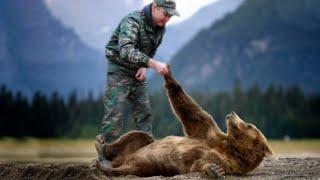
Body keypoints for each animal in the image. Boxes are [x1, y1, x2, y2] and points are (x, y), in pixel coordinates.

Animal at [93, 68, 272, 178]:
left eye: (249, 125)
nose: (232, 113)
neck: (230, 146)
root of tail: (122, 161)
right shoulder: (208, 132)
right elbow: (192, 112)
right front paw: (168, 74)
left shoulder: (228, 160)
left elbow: (201, 163)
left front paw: (214, 170)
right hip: (137, 148)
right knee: (140, 136)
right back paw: (102, 147)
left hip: (145, 167)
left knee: (127, 168)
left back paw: (102, 165)